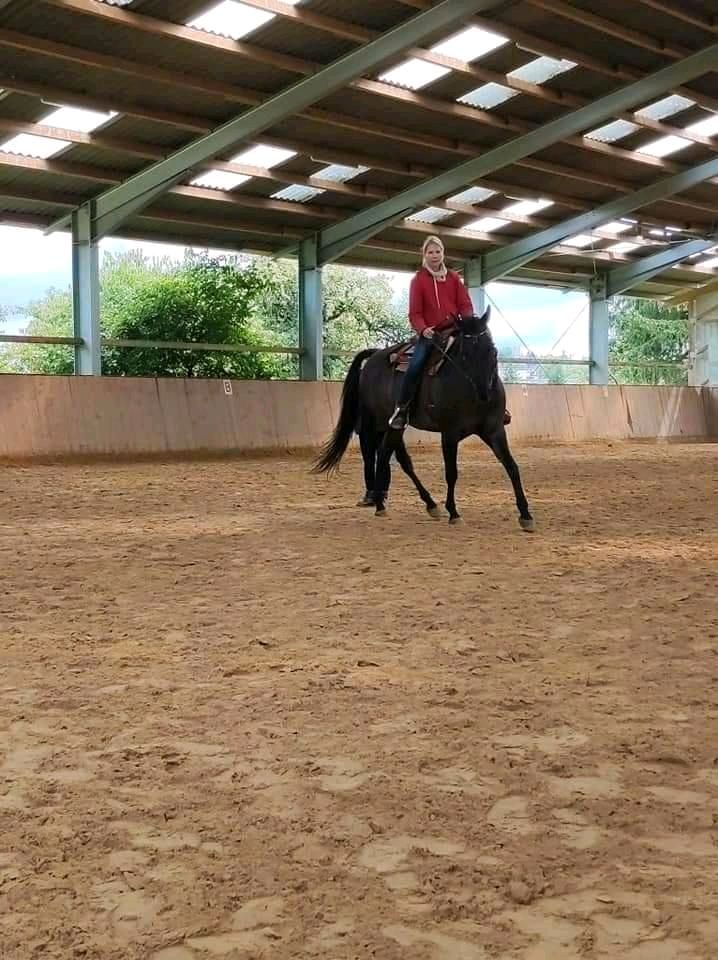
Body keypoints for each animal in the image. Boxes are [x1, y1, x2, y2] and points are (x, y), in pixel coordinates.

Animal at [314, 310, 536, 528]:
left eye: (493, 351)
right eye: (464, 355)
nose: (484, 393)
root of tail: (374, 356)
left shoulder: (494, 430)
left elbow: (511, 466)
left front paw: (525, 514)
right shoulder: (449, 433)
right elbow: (451, 472)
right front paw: (453, 512)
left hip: (393, 427)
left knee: (390, 455)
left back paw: (414, 503)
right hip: (379, 421)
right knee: (388, 456)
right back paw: (385, 503)